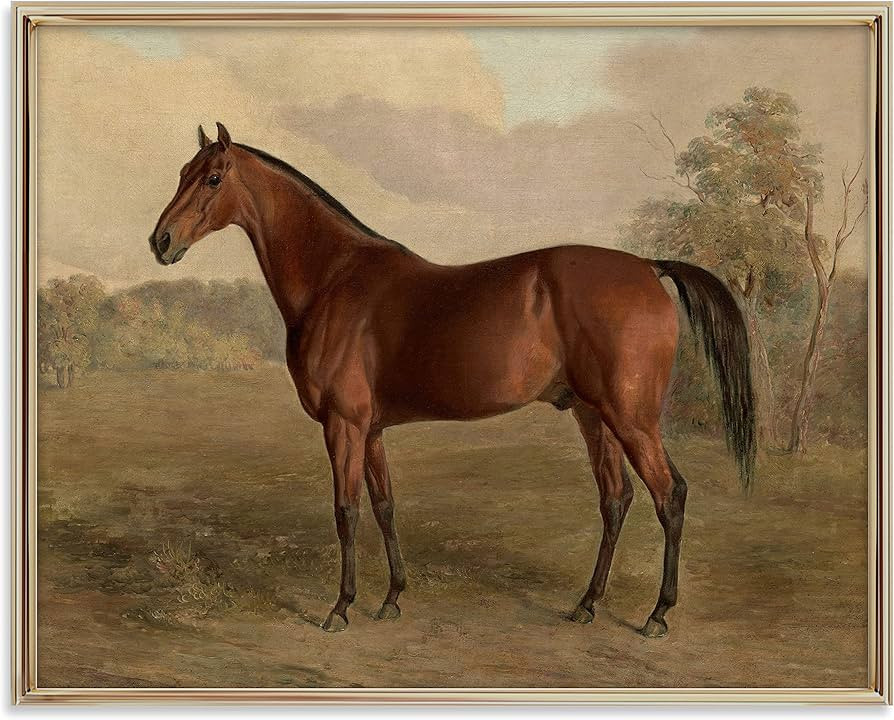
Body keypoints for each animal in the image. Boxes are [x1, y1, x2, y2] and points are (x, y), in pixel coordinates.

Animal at [150, 122, 755, 637]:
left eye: (212, 178)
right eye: (181, 171)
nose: (161, 241)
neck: (334, 279)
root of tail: (648, 267)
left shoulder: (343, 426)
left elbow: (346, 511)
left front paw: (341, 608)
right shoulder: (371, 430)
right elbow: (384, 506)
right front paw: (392, 598)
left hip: (631, 418)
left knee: (669, 495)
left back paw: (657, 614)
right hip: (593, 415)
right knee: (616, 498)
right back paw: (586, 605)